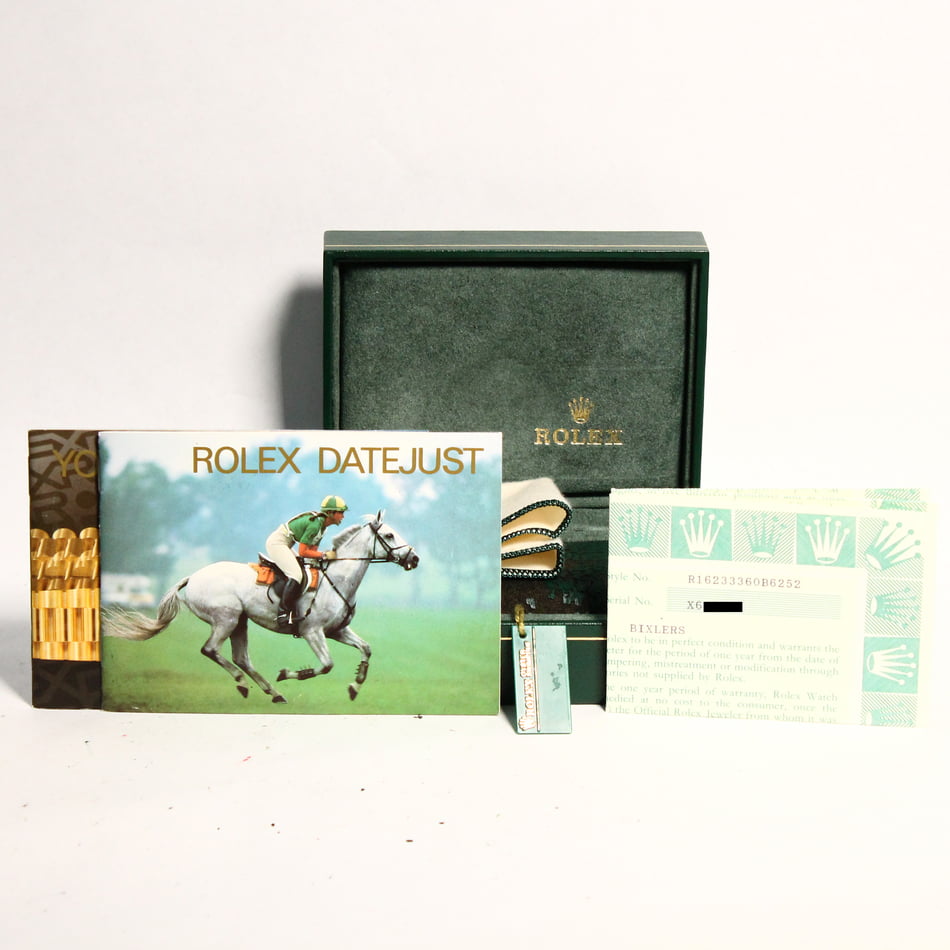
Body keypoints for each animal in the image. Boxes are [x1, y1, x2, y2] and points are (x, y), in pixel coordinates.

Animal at [103, 512, 419, 703]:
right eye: (389, 536)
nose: (414, 559)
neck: (337, 580)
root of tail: (191, 577)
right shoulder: (312, 631)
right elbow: (326, 665)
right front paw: (289, 674)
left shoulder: (336, 631)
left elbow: (366, 649)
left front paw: (355, 686)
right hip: (226, 618)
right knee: (211, 650)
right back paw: (245, 684)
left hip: (240, 622)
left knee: (241, 658)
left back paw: (273, 692)